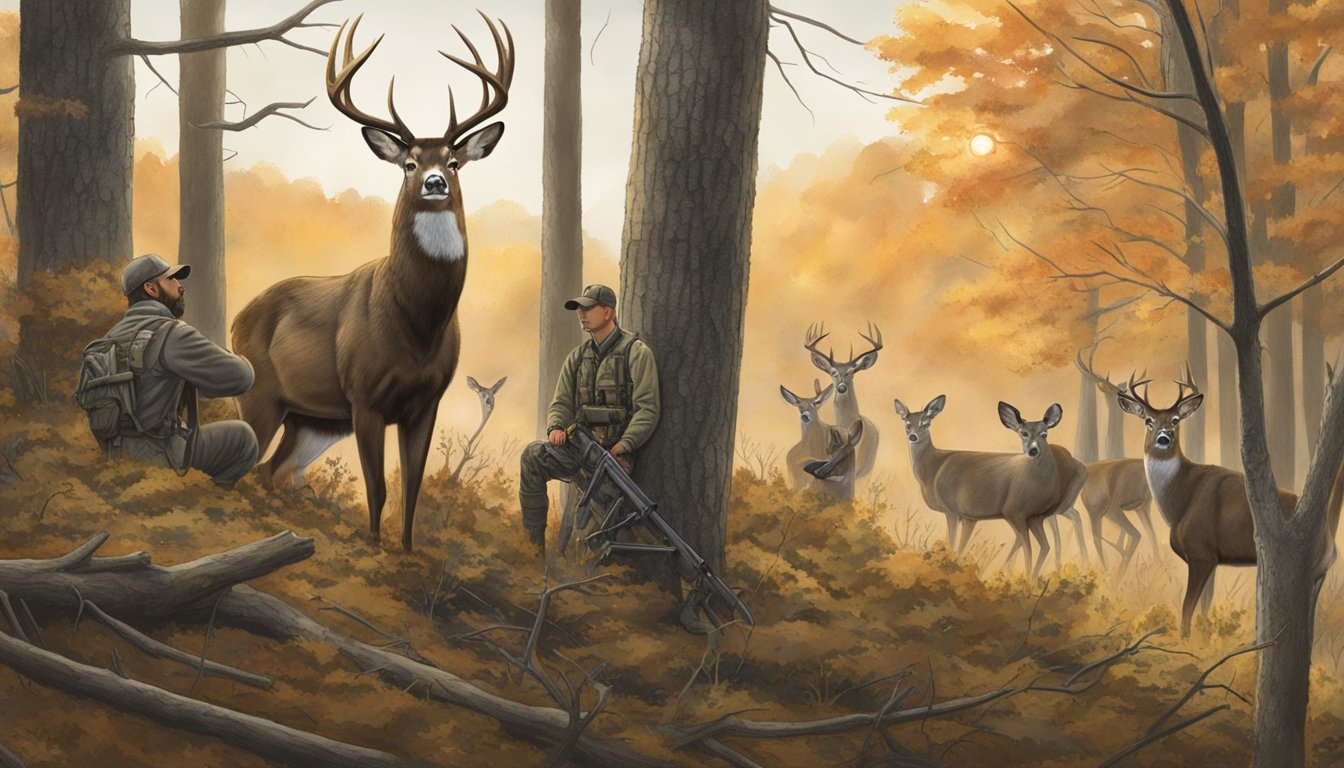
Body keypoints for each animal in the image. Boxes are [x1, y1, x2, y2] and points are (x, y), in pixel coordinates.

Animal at [231, 15, 513, 548]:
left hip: (314, 420)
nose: (434, 182)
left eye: (453, 161)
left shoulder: (427, 401)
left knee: (271, 470)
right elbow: (377, 488)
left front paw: (405, 550)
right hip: (261, 391)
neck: (417, 324)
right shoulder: (364, 396)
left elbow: (412, 488)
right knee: (243, 462)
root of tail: (239, 316)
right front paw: (375, 548)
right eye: (409, 163)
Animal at [1112, 368, 1344, 634]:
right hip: (1317, 574)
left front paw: (1186, 639)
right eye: (1148, 421)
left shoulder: (1200, 552)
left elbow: (1187, 609)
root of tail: (1331, 543)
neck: (1179, 499)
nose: (1163, 439)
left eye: (1175, 420)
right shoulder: (1212, 559)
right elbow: (1204, 606)